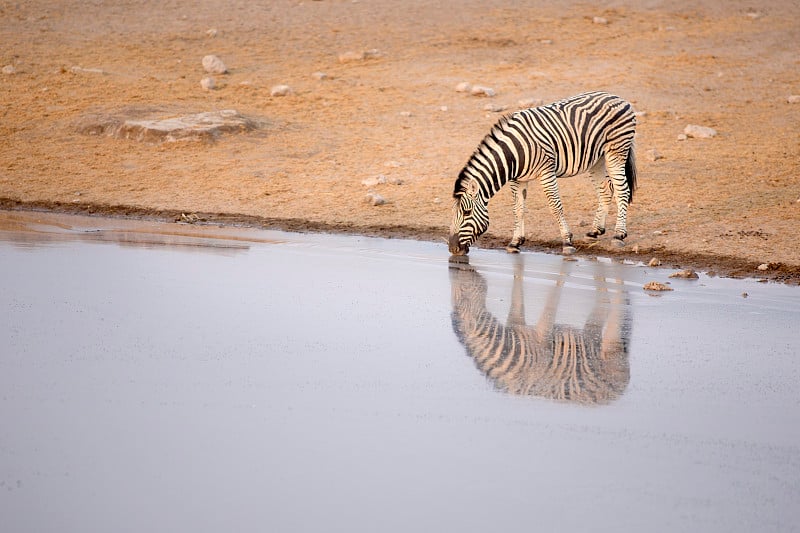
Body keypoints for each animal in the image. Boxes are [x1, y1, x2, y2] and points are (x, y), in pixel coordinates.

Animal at [450, 91, 636, 256]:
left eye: (467, 213)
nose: (452, 249)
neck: (514, 152)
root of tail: (618, 97)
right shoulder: (517, 179)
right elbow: (518, 209)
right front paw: (515, 243)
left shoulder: (546, 172)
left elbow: (555, 207)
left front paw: (567, 242)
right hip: (597, 159)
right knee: (606, 190)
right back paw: (595, 231)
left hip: (616, 151)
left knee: (622, 190)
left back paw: (619, 235)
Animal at [450, 256, 632, 402]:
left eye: (462, 289)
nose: (455, 260)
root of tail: (620, 390)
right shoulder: (515, 323)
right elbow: (517, 294)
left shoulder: (542, 338)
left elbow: (551, 303)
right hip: (592, 336)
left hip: (611, 345)